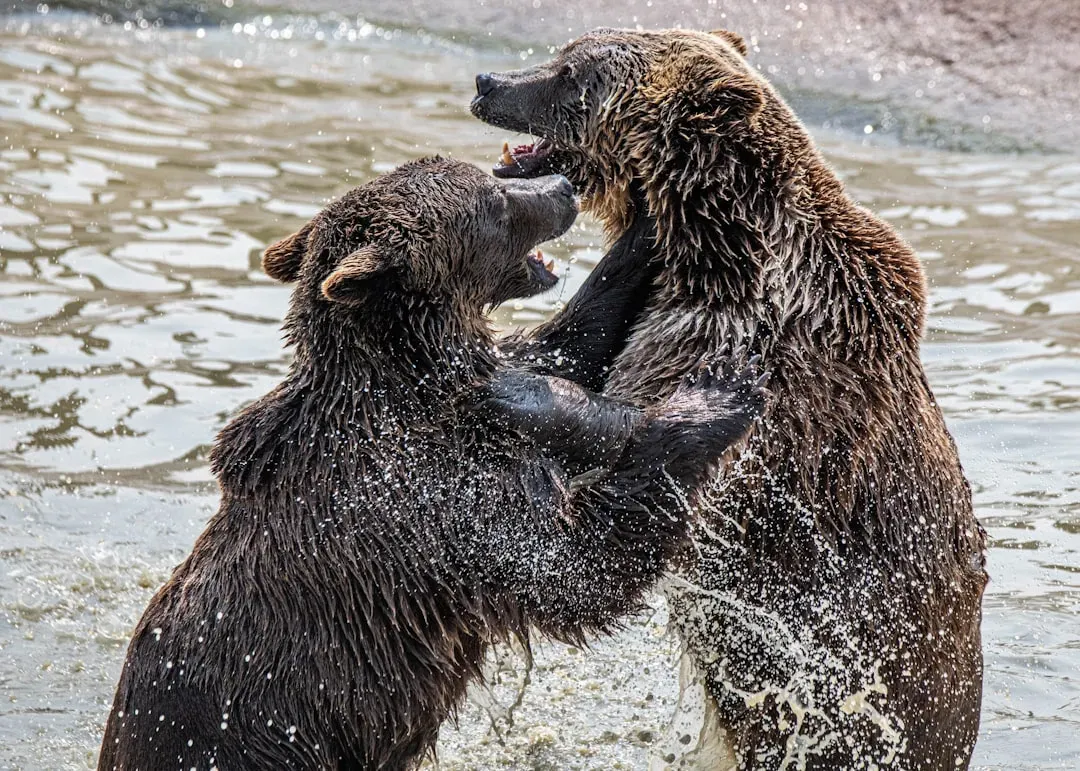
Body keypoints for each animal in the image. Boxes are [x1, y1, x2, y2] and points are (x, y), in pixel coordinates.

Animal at [97, 156, 766, 771]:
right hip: (249, 740)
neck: (412, 384)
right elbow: (574, 570)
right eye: (494, 204)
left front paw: (649, 217)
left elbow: (566, 344)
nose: (561, 187)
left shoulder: (493, 388)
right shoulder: (433, 501)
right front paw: (716, 394)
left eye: (485, 175)